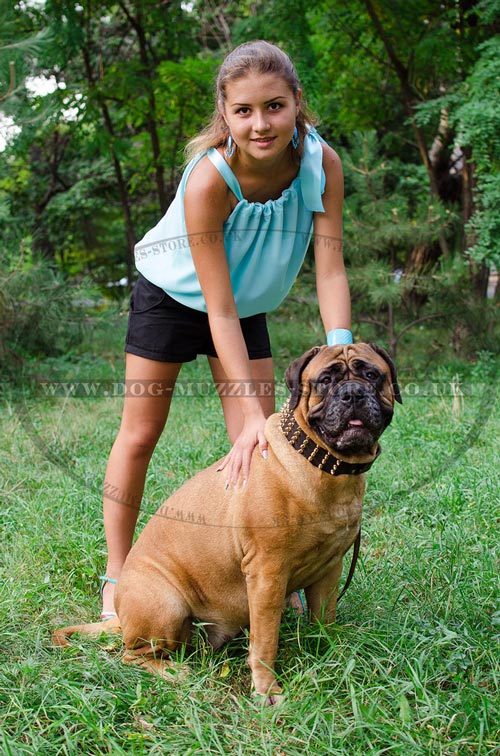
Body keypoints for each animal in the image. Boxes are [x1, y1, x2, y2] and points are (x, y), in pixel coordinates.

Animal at [52, 342, 400, 704]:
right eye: (326, 380)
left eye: (371, 374)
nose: (352, 393)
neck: (321, 463)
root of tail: (121, 613)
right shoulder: (266, 574)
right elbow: (265, 641)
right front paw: (266, 689)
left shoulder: (330, 568)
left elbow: (325, 619)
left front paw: (332, 653)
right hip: (165, 604)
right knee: (132, 656)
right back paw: (174, 672)